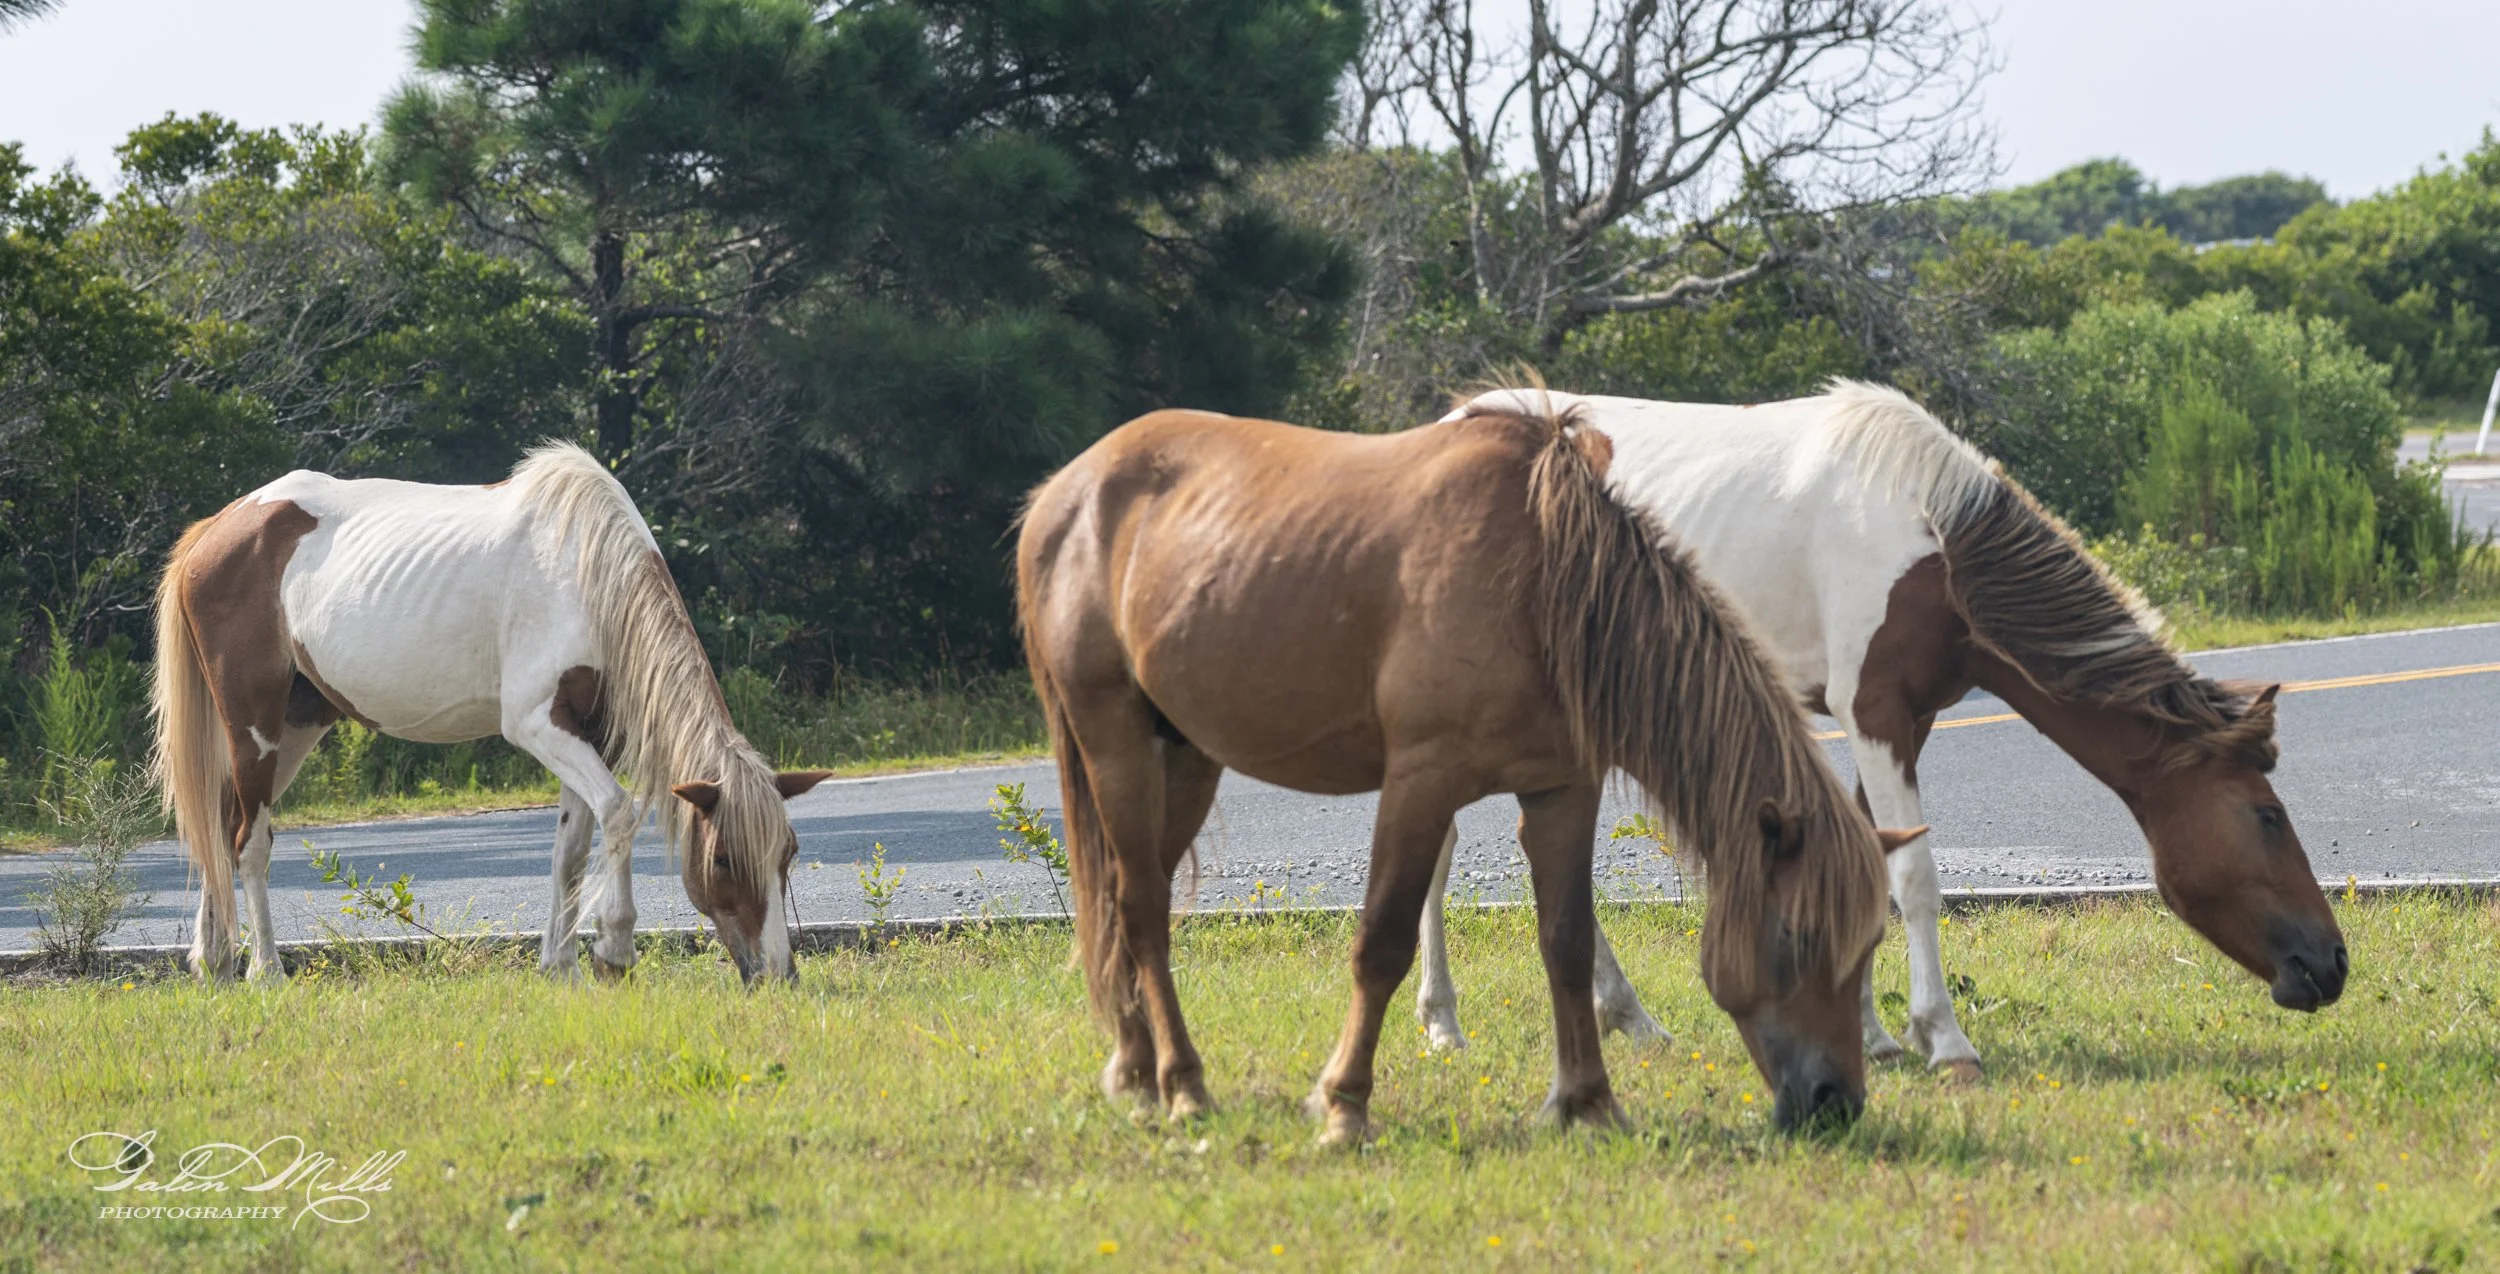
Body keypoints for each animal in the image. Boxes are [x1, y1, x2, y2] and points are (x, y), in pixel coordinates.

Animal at [151, 442, 830, 985]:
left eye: (788, 854)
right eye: (722, 859)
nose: (778, 974)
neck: (587, 573)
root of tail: (219, 526)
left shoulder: (588, 737)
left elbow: (570, 850)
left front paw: (560, 966)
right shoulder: (538, 725)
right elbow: (618, 812)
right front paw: (613, 948)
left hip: (296, 726)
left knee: (222, 825)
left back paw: (214, 962)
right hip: (255, 725)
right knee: (249, 842)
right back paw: (265, 970)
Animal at [1017, 400, 1921, 1139]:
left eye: (1870, 943)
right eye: (1797, 936)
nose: (1836, 1104)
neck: (1547, 585)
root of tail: (1062, 495)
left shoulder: (1562, 790)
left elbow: (1566, 942)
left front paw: (1589, 1103)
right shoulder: (1420, 783)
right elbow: (1382, 943)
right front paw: (1344, 1107)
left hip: (1188, 759)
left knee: (1128, 902)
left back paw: (1135, 1072)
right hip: (1113, 740)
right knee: (1140, 907)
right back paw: (1182, 1087)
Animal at [1415, 382, 2348, 1078]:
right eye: (2267, 816)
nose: (2331, 965)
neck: (1929, 534)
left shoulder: (1909, 716)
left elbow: (1871, 855)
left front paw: (1871, 1032)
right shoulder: (1873, 712)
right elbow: (1915, 878)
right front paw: (1946, 1040)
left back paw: (1628, 1016)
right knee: (1443, 842)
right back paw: (1444, 1024)